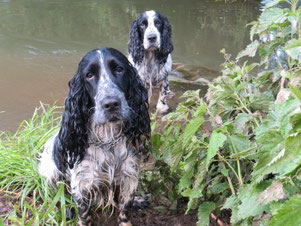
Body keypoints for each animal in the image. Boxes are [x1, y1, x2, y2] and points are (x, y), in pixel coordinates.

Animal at [38, 48, 149, 226]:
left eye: (119, 69)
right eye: (89, 75)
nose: (111, 104)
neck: (108, 139)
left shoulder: (128, 175)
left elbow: (125, 209)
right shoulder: (82, 183)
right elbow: (84, 214)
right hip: (51, 171)